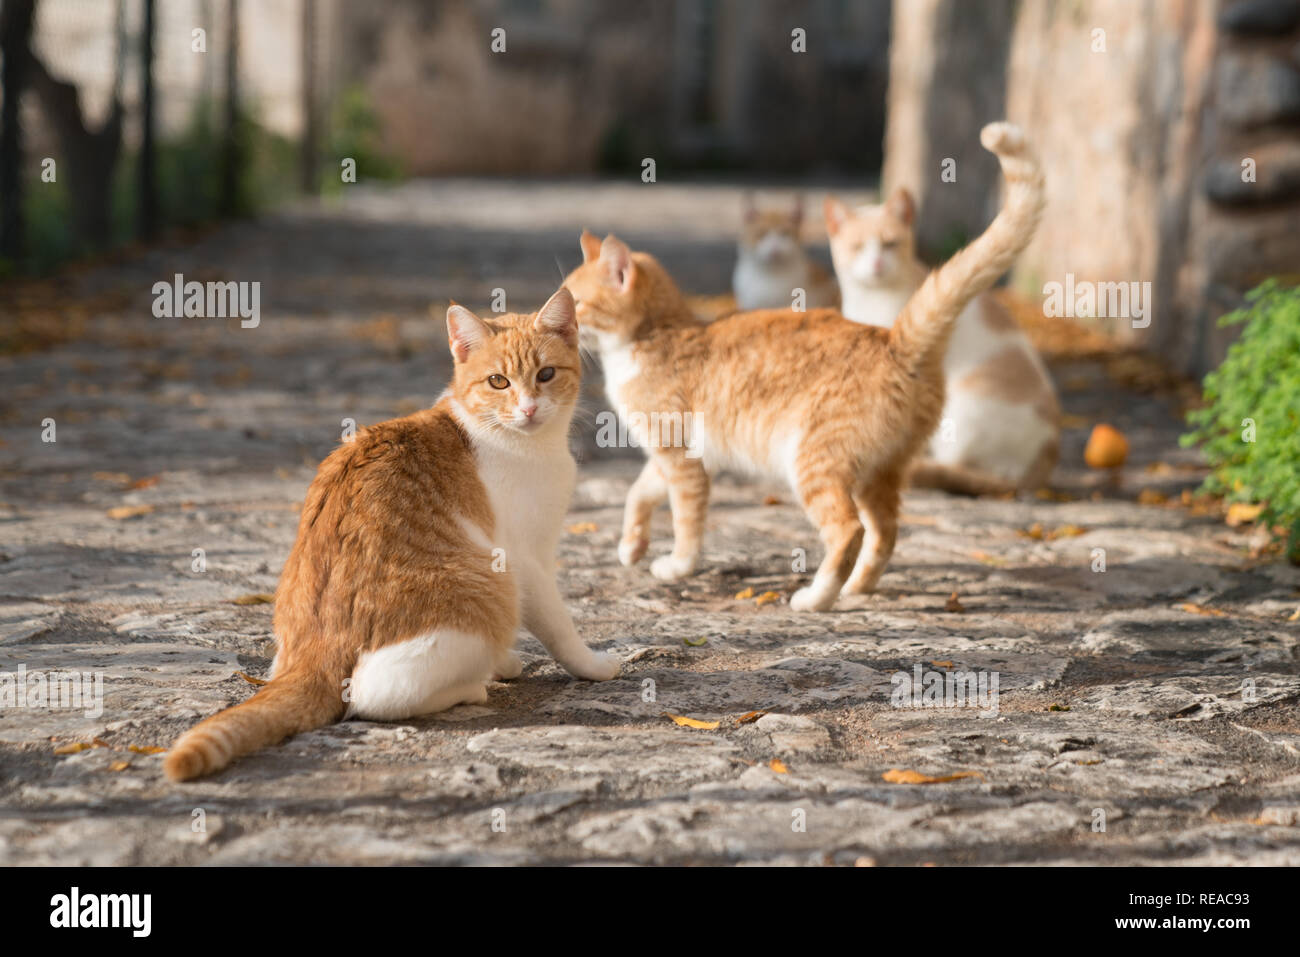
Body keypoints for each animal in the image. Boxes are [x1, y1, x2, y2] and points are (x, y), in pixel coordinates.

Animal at [165, 287, 621, 780]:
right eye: (499, 382)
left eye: (546, 374)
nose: (529, 408)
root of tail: (313, 650)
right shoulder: (526, 562)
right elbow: (559, 627)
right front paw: (592, 666)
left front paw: (504, 662)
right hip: (486, 591)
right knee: (372, 698)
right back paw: (468, 689)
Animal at [826, 184, 1060, 494]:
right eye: (857, 247)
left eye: (890, 244)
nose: (877, 263)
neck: (870, 298)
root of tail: (1048, 452)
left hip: (965, 408)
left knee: (962, 467)